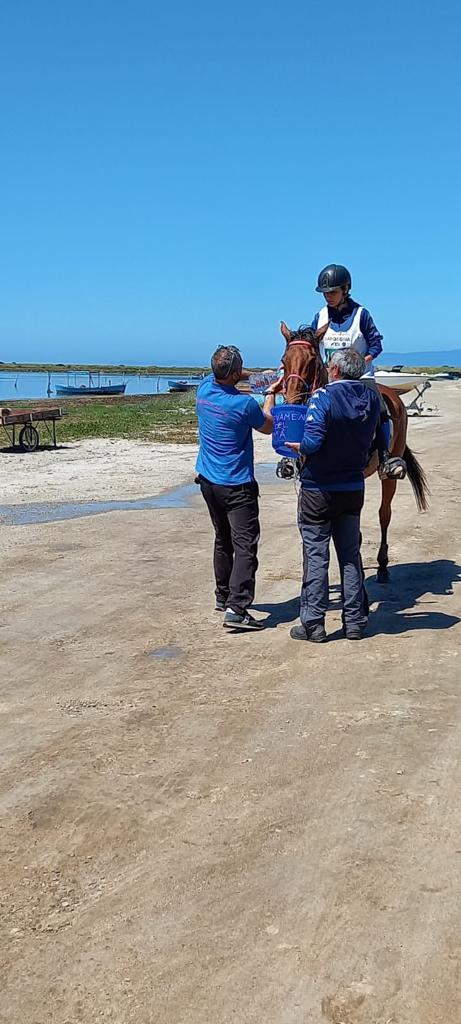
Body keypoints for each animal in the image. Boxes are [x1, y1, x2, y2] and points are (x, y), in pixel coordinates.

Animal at [276, 319, 428, 585]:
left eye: (312, 361)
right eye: (284, 361)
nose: (293, 403)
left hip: (387, 475)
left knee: (384, 514)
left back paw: (382, 566)